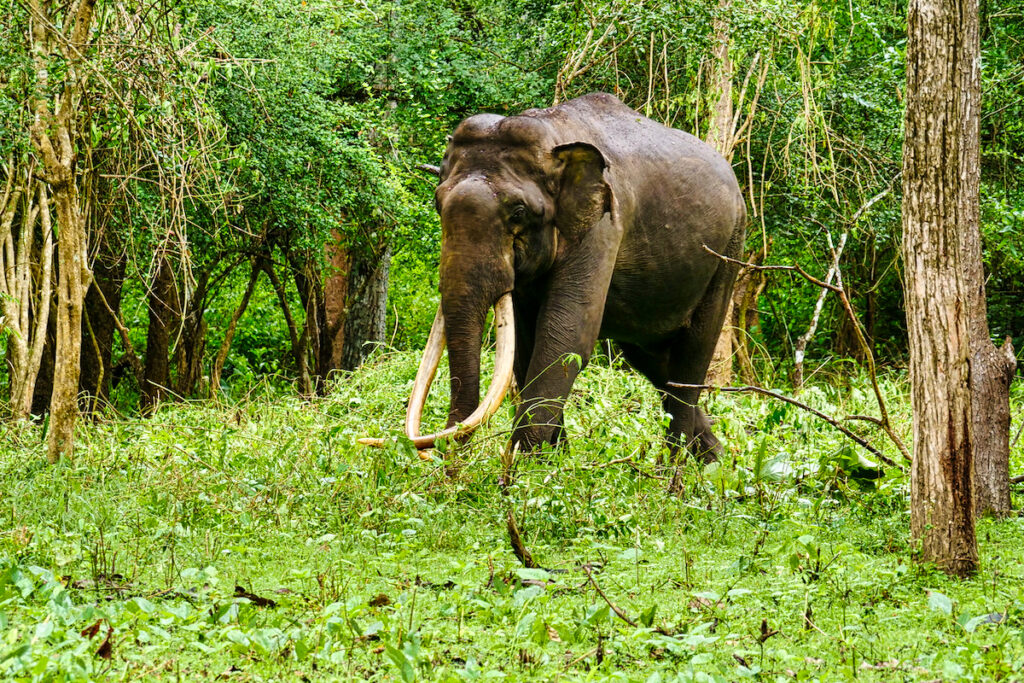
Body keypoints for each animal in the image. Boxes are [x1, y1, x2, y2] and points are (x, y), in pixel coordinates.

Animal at [364, 92, 746, 463]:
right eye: (437, 204)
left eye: (518, 212)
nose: (445, 461)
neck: (551, 131)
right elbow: (526, 346)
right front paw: (548, 464)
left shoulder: (602, 226)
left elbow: (563, 338)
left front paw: (523, 469)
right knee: (653, 362)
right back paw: (717, 464)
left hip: (729, 250)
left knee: (692, 355)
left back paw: (674, 472)